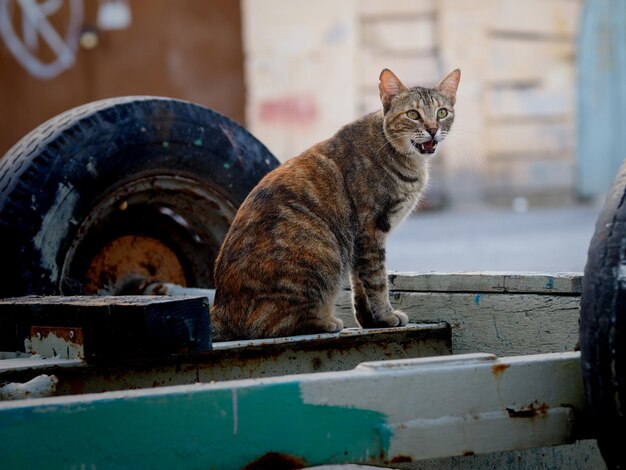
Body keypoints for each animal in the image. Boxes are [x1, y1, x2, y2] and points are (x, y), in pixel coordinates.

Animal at [210, 68, 458, 340]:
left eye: (442, 112)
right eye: (413, 114)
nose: (433, 129)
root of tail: (219, 308)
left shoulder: (359, 242)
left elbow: (360, 285)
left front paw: (370, 320)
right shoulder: (370, 230)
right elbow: (377, 280)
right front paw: (385, 315)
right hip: (320, 252)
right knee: (265, 326)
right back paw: (323, 321)